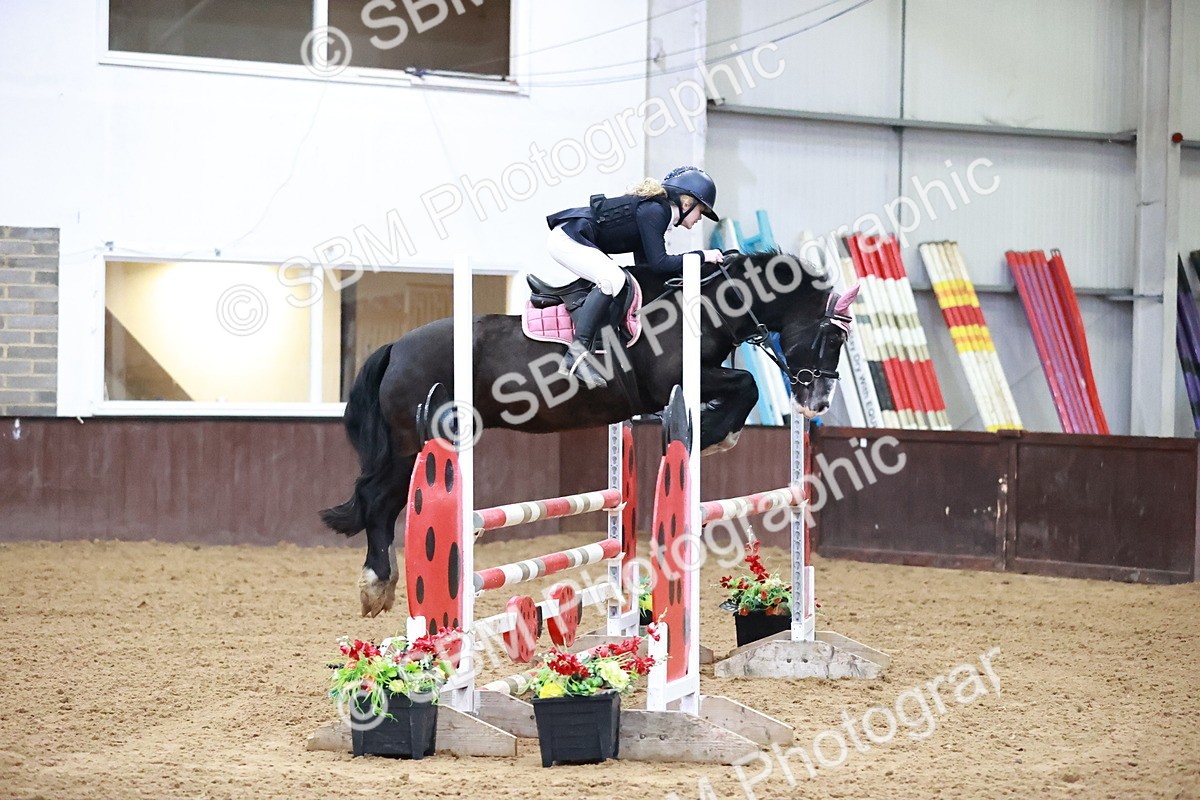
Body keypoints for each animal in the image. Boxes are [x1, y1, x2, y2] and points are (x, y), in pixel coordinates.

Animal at [321, 250, 857, 616]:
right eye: (832, 336)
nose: (817, 404)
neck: (704, 308)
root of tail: (396, 346)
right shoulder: (673, 379)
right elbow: (745, 384)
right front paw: (706, 434)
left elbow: (741, 388)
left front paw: (712, 432)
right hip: (413, 441)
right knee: (378, 500)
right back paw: (376, 583)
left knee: (380, 499)